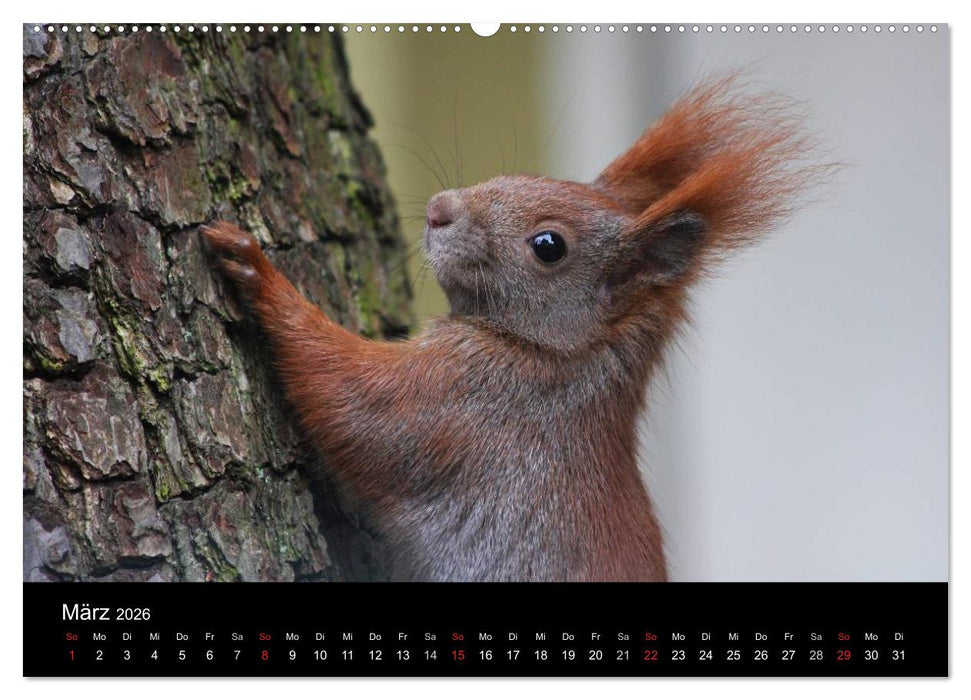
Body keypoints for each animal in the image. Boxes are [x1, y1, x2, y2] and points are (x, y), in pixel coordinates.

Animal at [201, 76, 827, 582]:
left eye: (548, 246)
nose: (440, 207)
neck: (563, 355)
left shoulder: (468, 402)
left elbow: (347, 399)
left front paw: (259, 275)